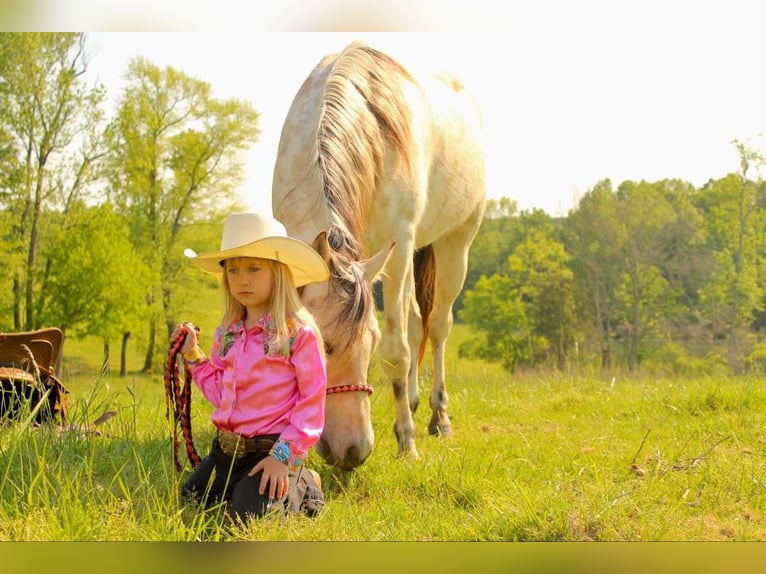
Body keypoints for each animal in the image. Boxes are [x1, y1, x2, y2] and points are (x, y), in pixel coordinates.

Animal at [270, 41, 486, 472]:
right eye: (324, 347)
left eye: (368, 343)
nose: (351, 452)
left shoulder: (398, 247)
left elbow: (395, 352)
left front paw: (407, 442)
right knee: (417, 322)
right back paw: (415, 404)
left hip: (456, 244)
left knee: (437, 328)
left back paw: (438, 418)